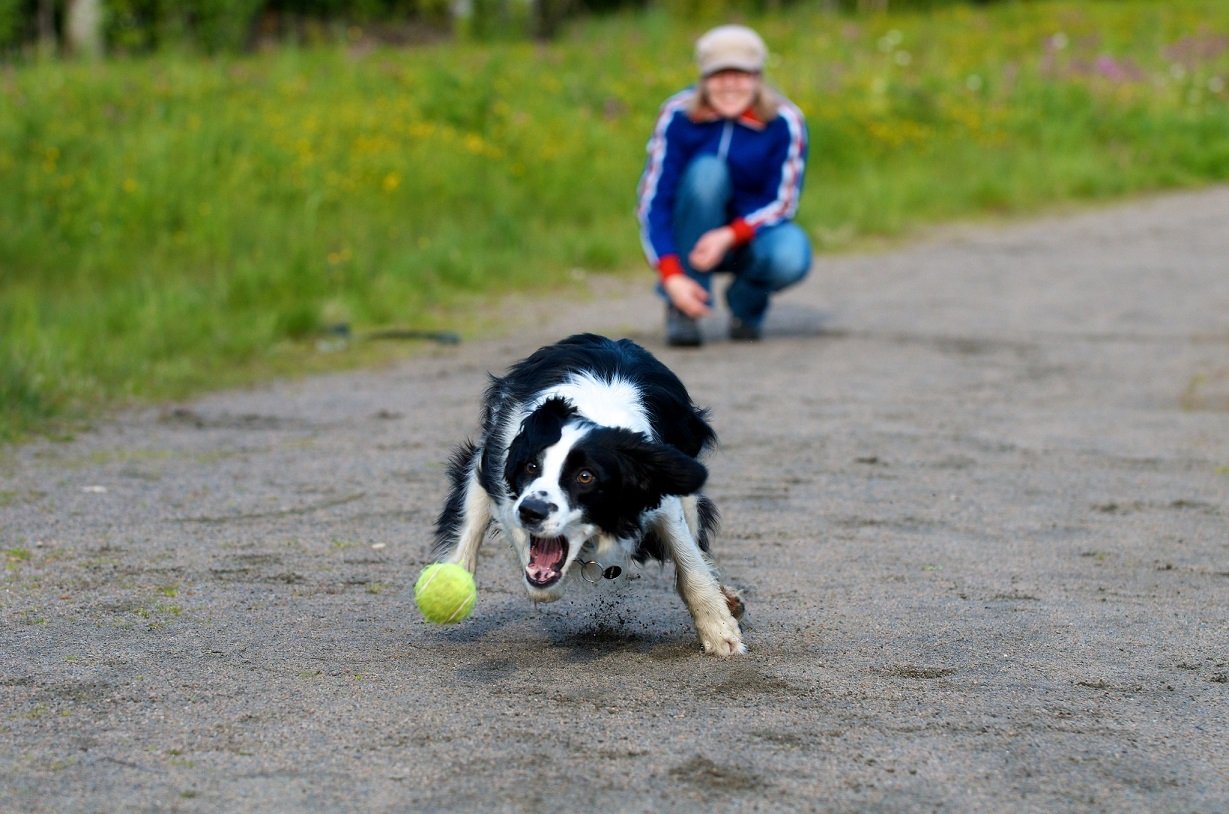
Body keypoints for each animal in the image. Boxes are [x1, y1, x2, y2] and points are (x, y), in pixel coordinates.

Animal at [432, 331, 747, 659]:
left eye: (585, 476)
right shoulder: (498, 468)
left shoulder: (662, 491)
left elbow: (689, 559)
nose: (531, 510)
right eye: (531, 466)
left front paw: (719, 631)